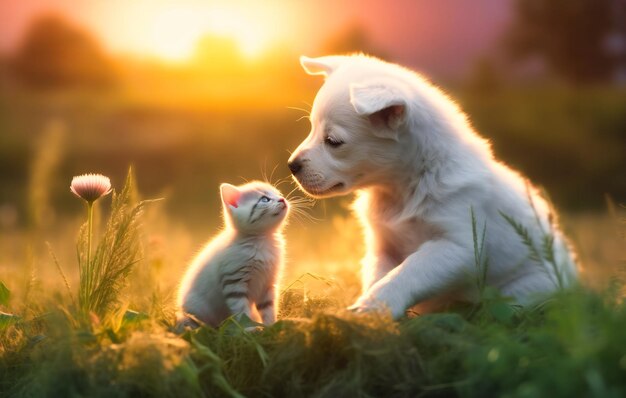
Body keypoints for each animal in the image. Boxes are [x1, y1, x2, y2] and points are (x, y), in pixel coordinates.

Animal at [288, 55, 576, 318]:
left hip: (528, 288)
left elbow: (410, 270)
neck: (401, 188)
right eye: (311, 128)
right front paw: (372, 304)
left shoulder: (459, 246)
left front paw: (373, 306)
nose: (292, 165)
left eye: (333, 141)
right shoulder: (382, 245)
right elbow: (379, 274)